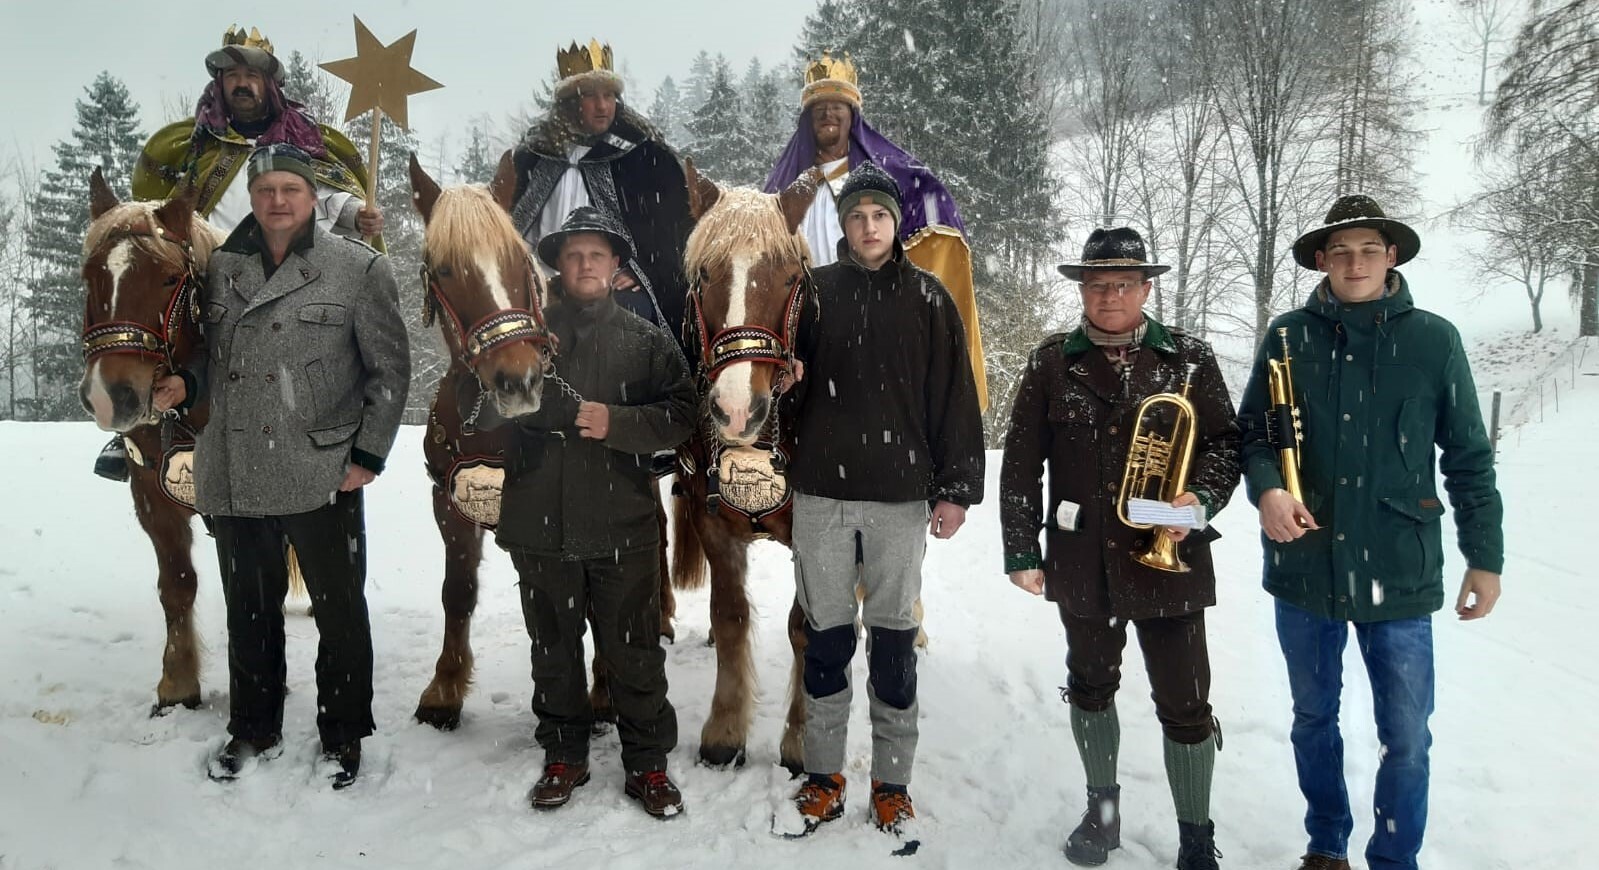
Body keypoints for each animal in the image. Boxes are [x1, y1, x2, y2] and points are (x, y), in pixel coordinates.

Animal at [78, 167, 223, 713]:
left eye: (166, 278)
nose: (109, 395)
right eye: (91, 277)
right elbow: (177, 585)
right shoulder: (151, 496)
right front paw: (178, 684)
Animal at [406, 152, 674, 729]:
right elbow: (457, 592)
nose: (519, 379)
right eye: (444, 269)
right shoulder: (450, 504)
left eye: (517, 260)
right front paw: (444, 689)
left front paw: (603, 693)